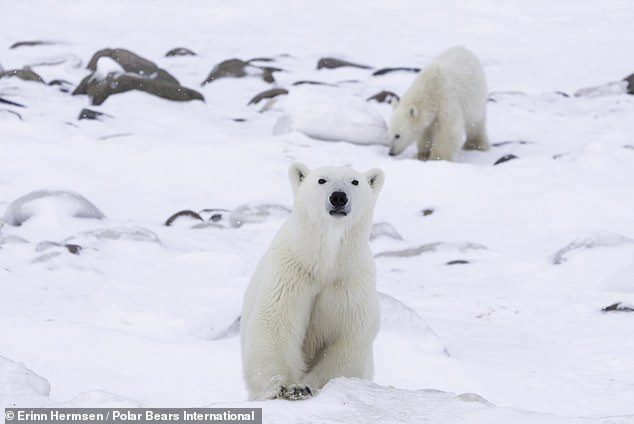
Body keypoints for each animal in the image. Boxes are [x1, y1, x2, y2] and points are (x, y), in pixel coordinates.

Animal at [239, 162, 382, 400]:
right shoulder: (291, 272)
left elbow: (347, 339)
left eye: (355, 181)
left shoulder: (350, 282)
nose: (339, 197)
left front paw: (314, 385)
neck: (324, 264)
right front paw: (290, 387)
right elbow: (275, 322)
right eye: (321, 180)